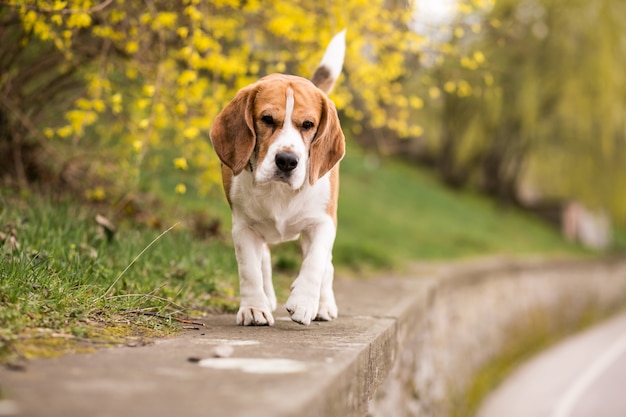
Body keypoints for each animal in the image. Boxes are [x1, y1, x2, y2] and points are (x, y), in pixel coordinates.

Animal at [210, 31, 346, 324]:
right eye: (267, 119)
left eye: (308, 125)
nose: (286, 161)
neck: (280, 192)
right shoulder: (243, 227)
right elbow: (249, 270)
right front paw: (253, 308)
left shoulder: (323, 222)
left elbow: (315, 263)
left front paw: (304, 302)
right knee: (263, 261)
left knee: (327, 266)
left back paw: (323, 304)